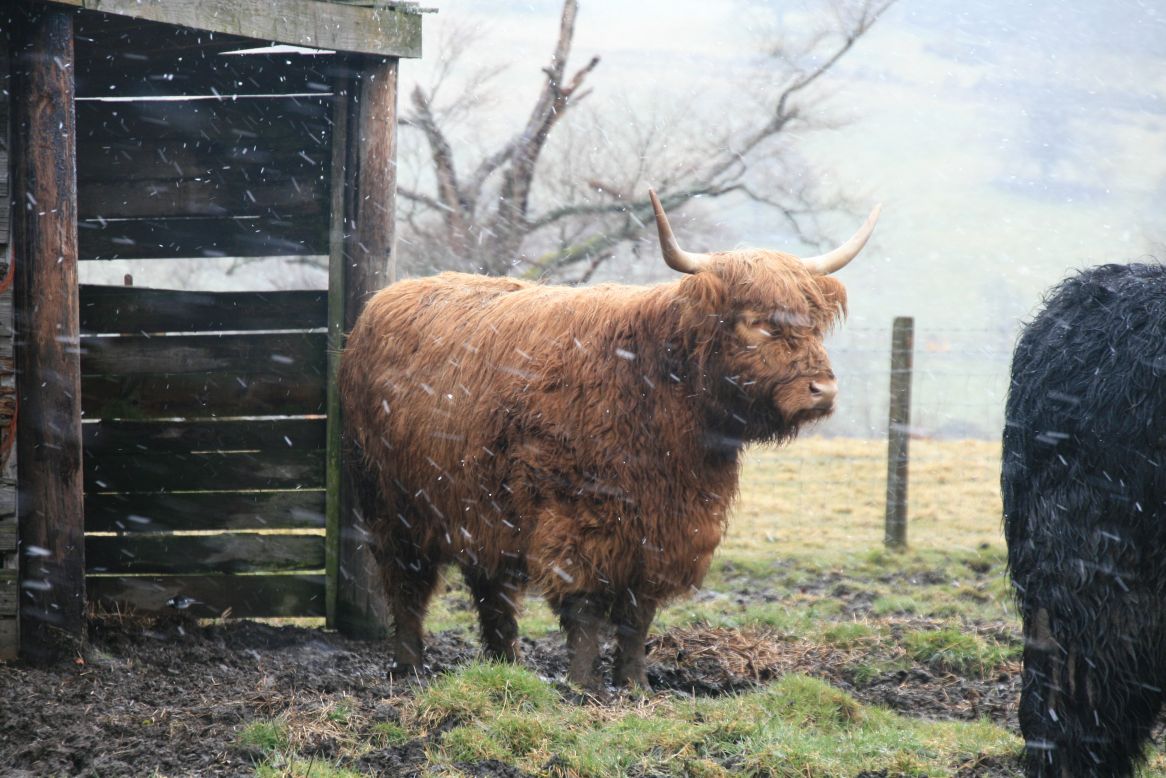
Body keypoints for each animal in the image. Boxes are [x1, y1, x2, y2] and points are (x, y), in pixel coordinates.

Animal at [339, 190, 879, 689]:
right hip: (395, 505)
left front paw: (635, 683)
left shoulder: (670, 527)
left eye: (814, 323)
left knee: (490, 587)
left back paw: (506, 664)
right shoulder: (579, 517)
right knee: (407, 585)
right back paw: (409, 666)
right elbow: (585, 607)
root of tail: (382, 302)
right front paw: (584, 684)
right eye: (758, 322)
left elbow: (638, 615)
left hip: (479, 504)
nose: (822, 390)